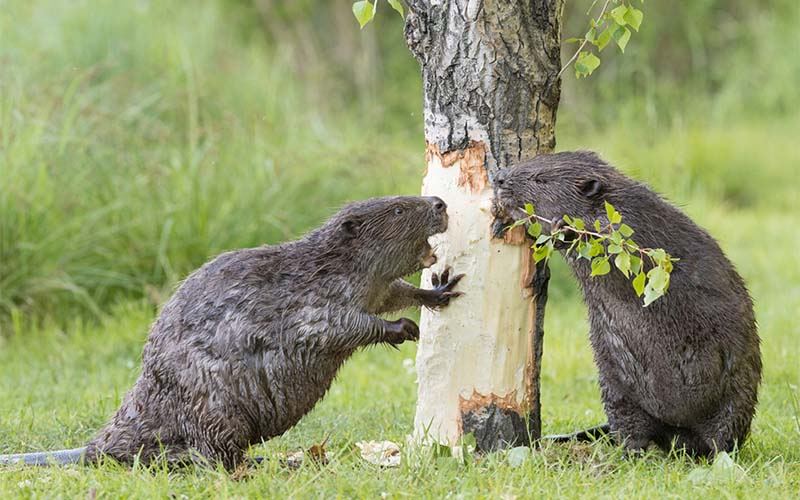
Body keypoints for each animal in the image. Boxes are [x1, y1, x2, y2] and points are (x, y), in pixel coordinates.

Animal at [1, 195, 462, 468]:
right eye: (399, 209)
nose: (439, 202)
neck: (326, 264)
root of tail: (97, 446)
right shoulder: (310, 298)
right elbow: (335, 327)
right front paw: (402, 328)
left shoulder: (373, 286)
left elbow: (396, 291)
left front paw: (440, 290)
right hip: (215, 407)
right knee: (215, 457)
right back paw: (273, 462)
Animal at [494, 151, 764, 458]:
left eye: (540, 178)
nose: (499, 178)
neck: (613, 199)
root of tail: (679, 436)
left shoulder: (635, 225)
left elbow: (622, 254)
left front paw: (564, 226)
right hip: (616, 388)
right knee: (630, 430)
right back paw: (629, 453)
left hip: (737, 392)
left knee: (724, 437)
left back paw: (719, 456)